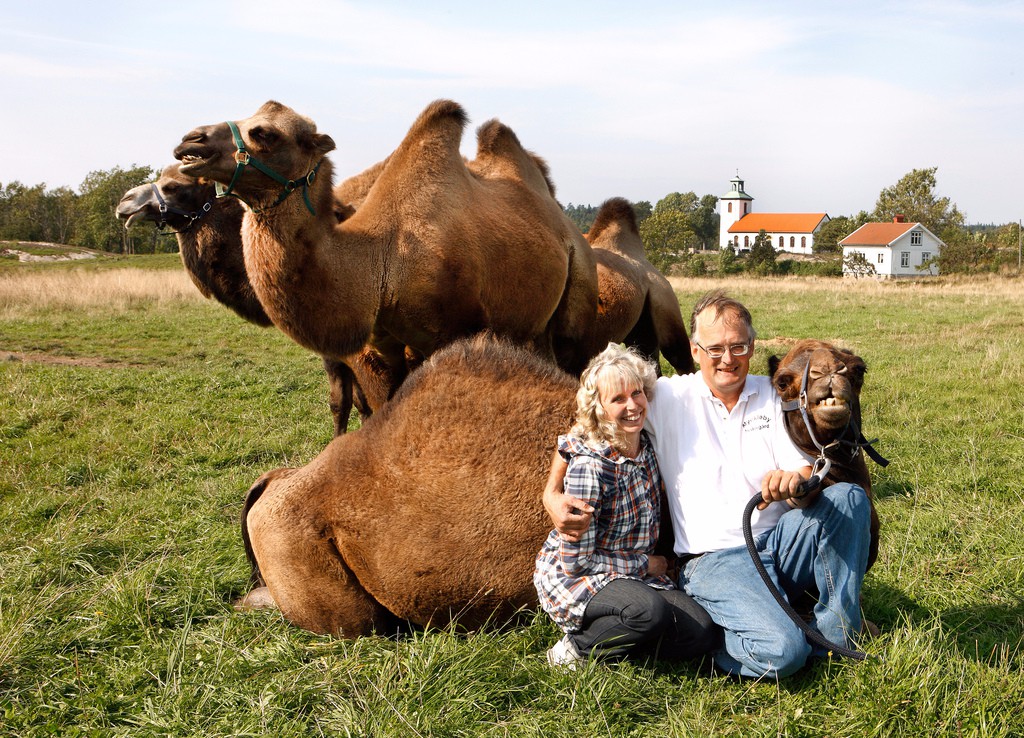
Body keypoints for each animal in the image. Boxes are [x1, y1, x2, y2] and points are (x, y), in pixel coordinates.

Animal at [172, 98, 598, 411]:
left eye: (266, 133)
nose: (190, 144)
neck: (381, 260)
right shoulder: (383, 349)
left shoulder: (457, 332)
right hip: (534, 323)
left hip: (579, 294)